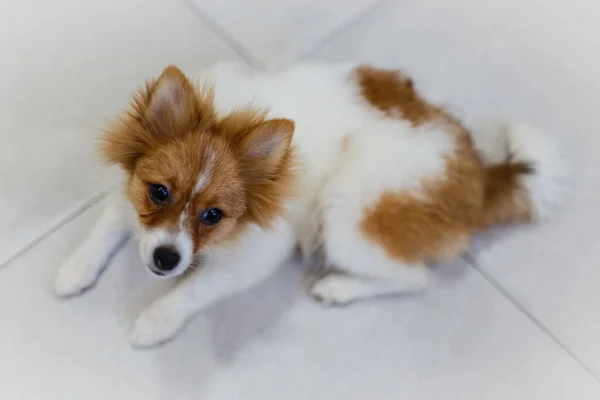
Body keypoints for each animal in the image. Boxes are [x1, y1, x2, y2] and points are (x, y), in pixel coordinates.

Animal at [54, 61, 564, 346]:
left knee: (413, 278)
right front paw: (75, 269)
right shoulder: (128, 196)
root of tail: (481, 173)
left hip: (348, 214)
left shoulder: (257, 254)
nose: (164, 259)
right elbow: (106, 228)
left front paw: (157, 319)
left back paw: (339, 287)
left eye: (213, 216)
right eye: (158, 191)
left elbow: (196, 289)